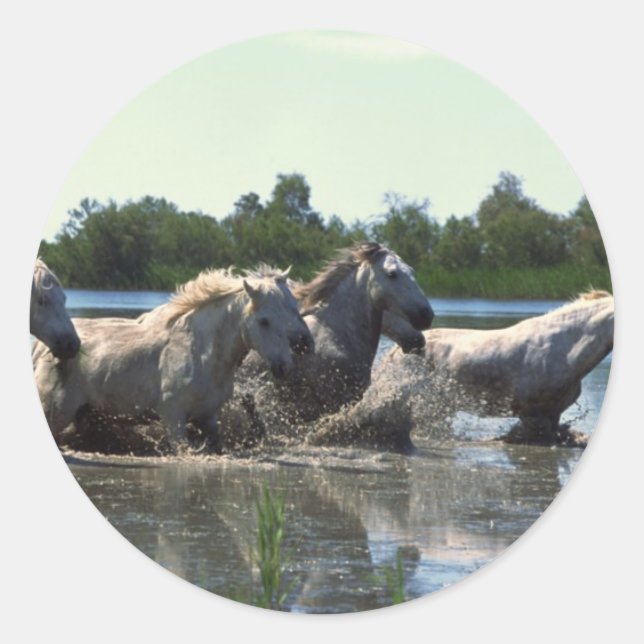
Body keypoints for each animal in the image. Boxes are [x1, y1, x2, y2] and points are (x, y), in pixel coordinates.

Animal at [33, 266, 313, 452]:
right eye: (264, 321)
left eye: (294, 309)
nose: (284, 367)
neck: (203, 353)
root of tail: (44, 349)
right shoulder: (173, 417)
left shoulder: (207, 416)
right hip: (57, 413)